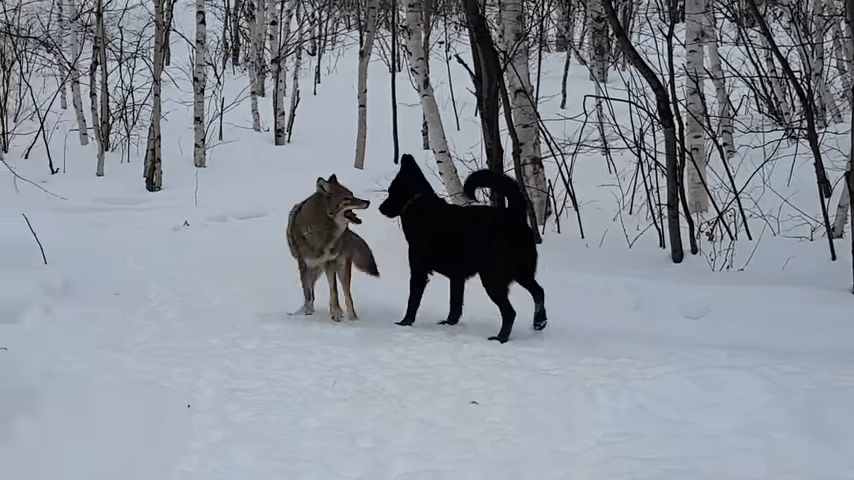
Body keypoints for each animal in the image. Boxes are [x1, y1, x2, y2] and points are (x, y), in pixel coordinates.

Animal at [380, 156, 548, 344]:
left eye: (391, 191)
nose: (380, 208)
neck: (419, 205)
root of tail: (515, 215)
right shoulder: (457, 277)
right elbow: (455, 304)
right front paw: (449, 324)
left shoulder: (419, 271)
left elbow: (412, 301)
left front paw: (405, 323)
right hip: (522, 273)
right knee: (539, 292)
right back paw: (539, 321)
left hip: (493, 279)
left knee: (510, 312)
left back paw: (501, 338)